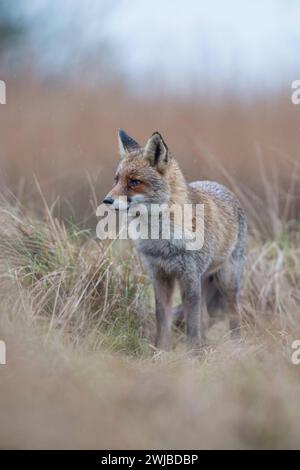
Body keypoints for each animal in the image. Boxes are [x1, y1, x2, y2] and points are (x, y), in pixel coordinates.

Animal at [103, 130, 246, 350]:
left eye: (134, 182)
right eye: (116, 180)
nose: (107, 201)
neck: (161, 241)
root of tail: (220, 185)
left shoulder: (189, 276)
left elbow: (192, 327)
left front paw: (192, 355)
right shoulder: (160, 275)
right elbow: (162, 320)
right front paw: (160, 352)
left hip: (226, 280)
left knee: (233, 315)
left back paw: (237, 348)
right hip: (203, 280)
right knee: (205, 318)